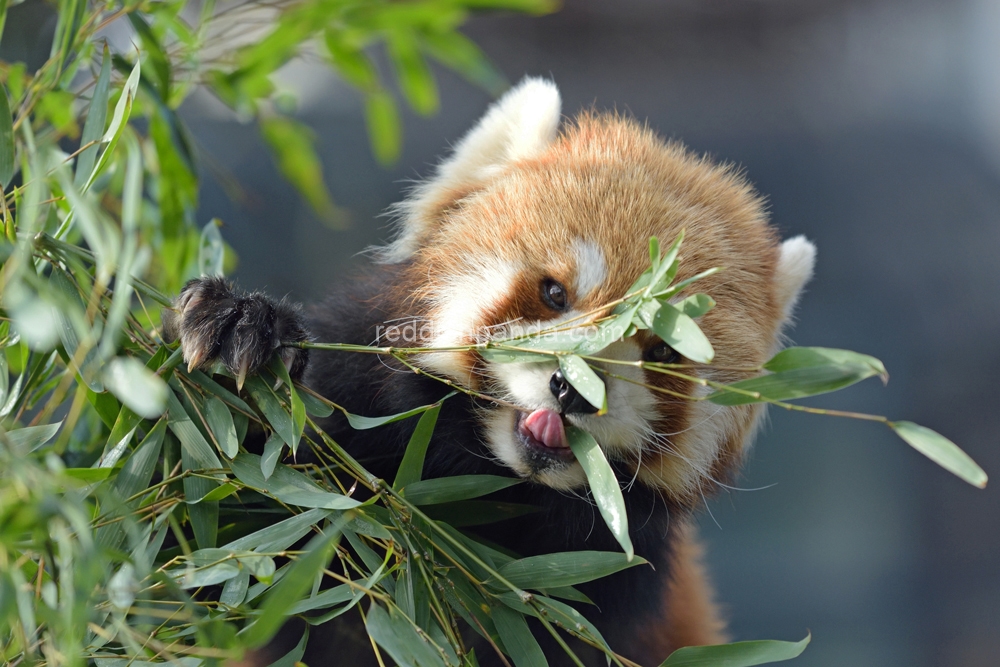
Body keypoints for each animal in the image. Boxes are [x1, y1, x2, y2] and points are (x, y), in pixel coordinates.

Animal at [168, 79, 816, 667]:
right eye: (554, 294)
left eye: (661, 351)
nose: (573, 391)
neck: (485, 487)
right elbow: (223, 538)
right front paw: (243, 330)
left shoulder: (595, 594)